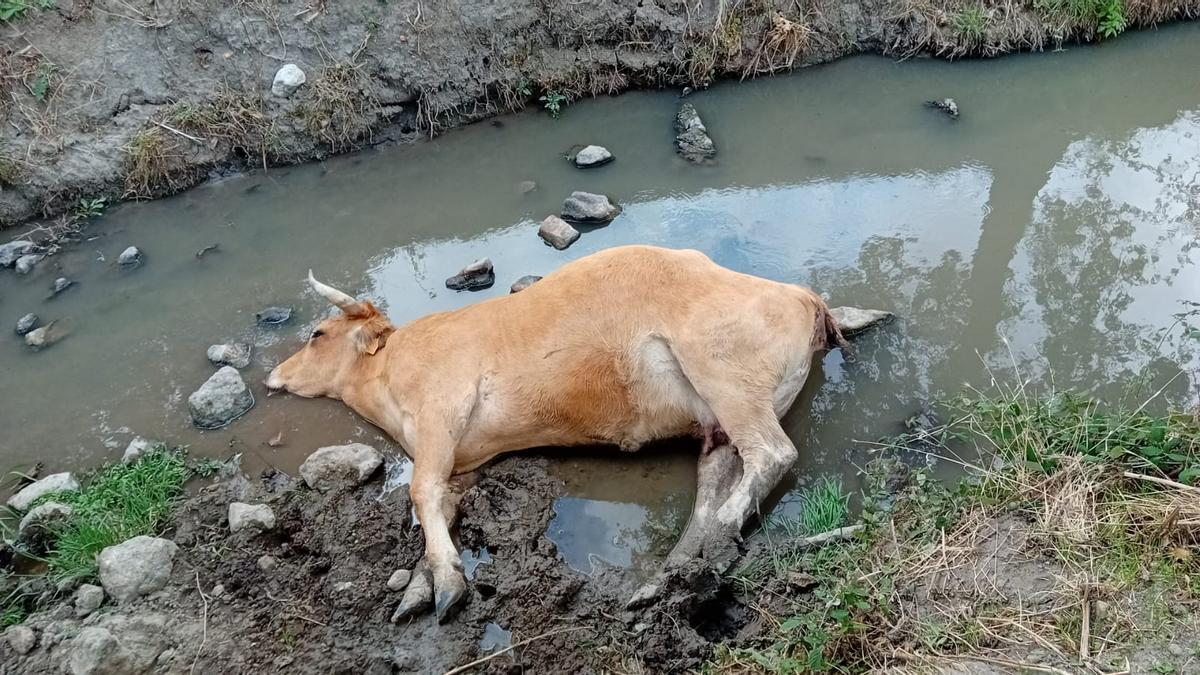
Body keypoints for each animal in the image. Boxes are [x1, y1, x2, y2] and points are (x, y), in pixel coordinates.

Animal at [270, 241, 854, 619]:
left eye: (318, 333)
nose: (274, 374)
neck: (387, 378)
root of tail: (803, 296)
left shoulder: (442, 408)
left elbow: (418, 489)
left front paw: (447, 585)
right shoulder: (463, 461)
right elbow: (438, 501)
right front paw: (420, 587)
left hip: (725, 379)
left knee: (772, 455)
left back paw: (716, 538)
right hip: (715, 422)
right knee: (716, 483)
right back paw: (670, 575)